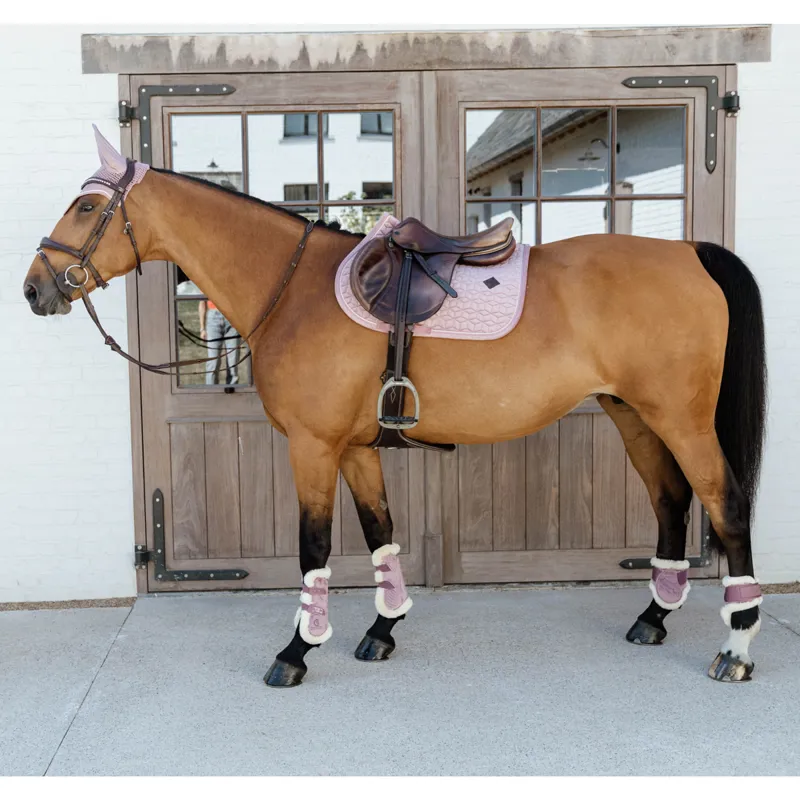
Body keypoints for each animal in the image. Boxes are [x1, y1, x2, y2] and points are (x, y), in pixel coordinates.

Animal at [23, 127, 767, 687]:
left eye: (85, 208)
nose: (34, 288)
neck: (296, 290)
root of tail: (689, 254)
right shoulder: (354, 448)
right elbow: (381, 532)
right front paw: (383, 629)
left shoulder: (312, 446)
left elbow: (314, 546)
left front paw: (297, 651)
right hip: (631, 414)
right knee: (670, 501)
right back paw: (654, 617)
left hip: (681, 420)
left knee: (724, 504)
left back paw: (735, 647)